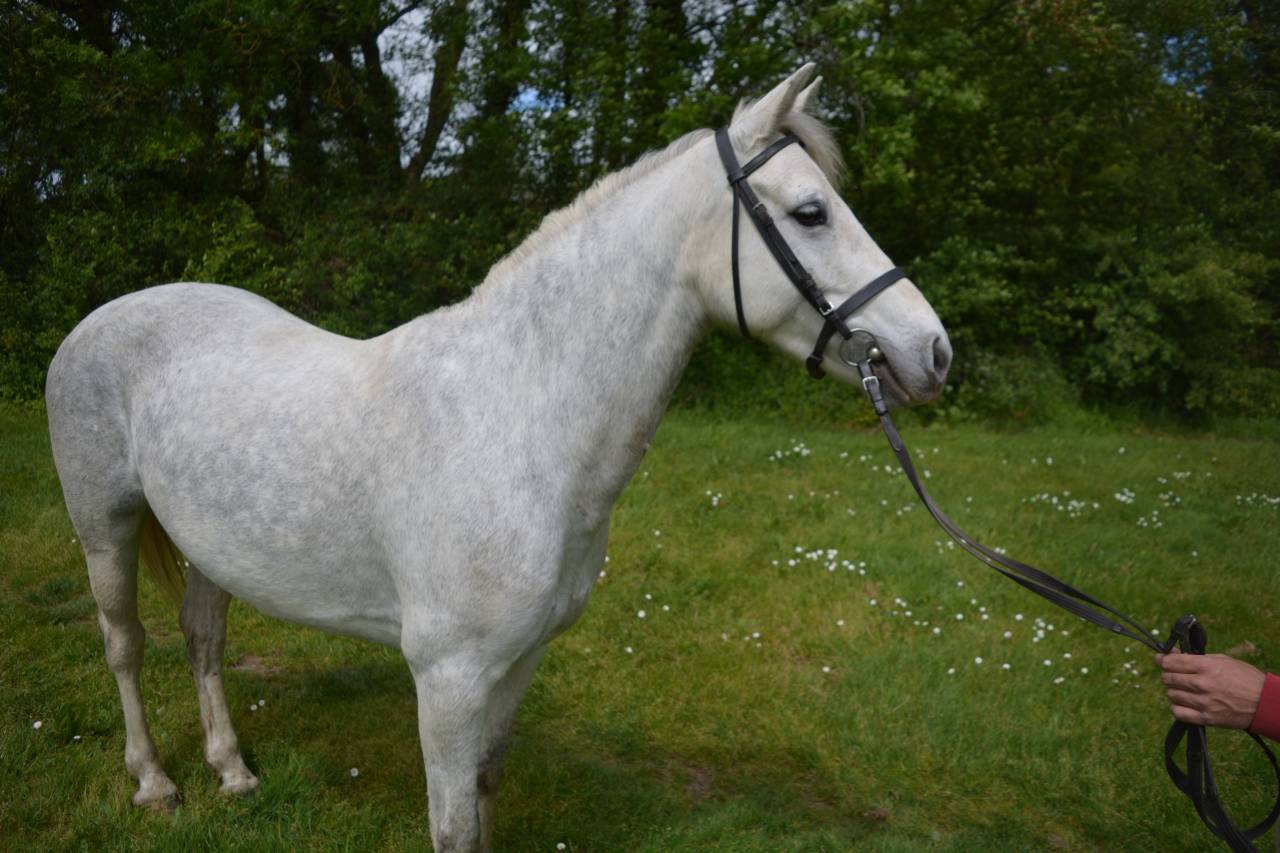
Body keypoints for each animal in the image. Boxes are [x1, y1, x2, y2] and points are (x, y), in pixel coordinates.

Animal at [46, 64, 950, 851]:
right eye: (811, 212)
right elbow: (451, 823)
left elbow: (482, 793)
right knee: (125, 646)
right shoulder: (448, 676)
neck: (521, 420)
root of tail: (99, 318)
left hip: (210, 546)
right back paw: (154, 782)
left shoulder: (518, 662)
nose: (933, 350)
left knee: (202, 640)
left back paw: (232, 772)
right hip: (105, 527)